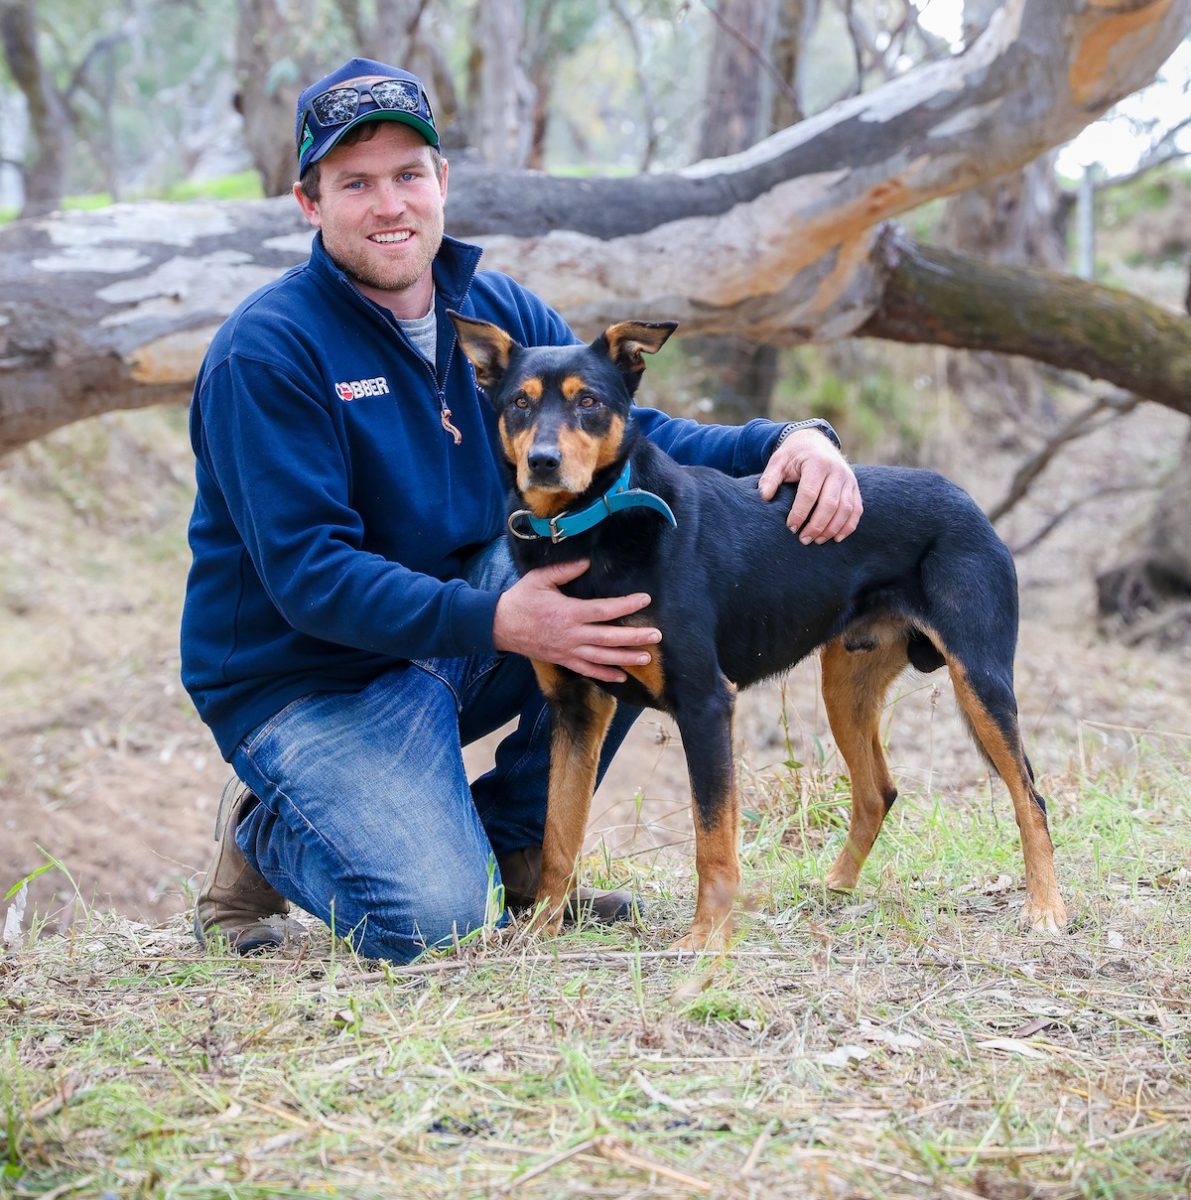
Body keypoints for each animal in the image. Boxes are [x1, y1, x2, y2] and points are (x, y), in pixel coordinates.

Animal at [451, 314, 1066, 950]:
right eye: (520, 403)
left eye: (589, 402)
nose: (542, 461)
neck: (587, 527)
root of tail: (967, 498)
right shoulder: (576, 706)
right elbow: (558, 832)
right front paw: (542, 928)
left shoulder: (704, 702)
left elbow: (712, 838)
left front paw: (707, 939)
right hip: (846, 685)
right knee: (878, 791)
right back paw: (835, 888)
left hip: (980, 678)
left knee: (1031, 797)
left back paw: (1046, 908)